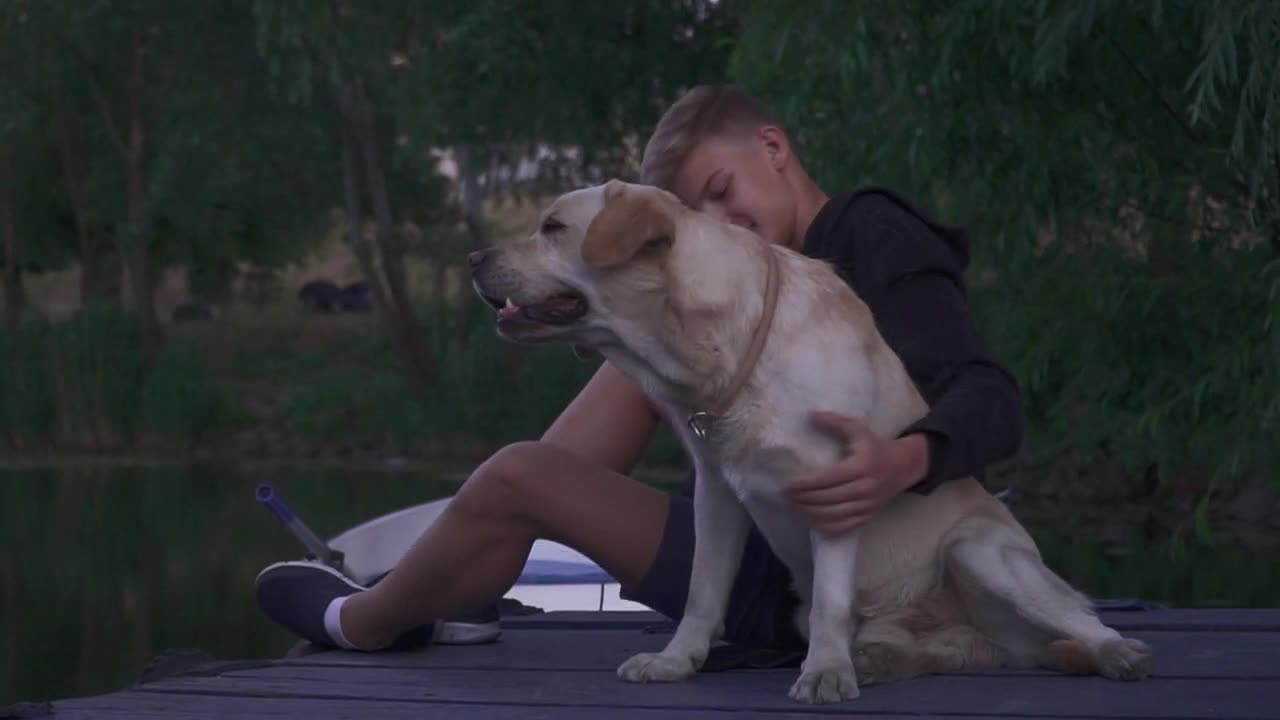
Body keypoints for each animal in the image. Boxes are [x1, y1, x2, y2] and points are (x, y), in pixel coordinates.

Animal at [471, 179, 1152, 702]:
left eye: (553, 226)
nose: (475, 258)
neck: (726, 348)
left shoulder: (837, 485)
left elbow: (830, 598)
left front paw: (824, 672)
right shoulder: (717, 493)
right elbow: (702, 591)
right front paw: (676, 661)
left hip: (979, 552)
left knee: (1082, 622)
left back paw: (1118, 653)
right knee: (950, 652)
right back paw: (883, 662)